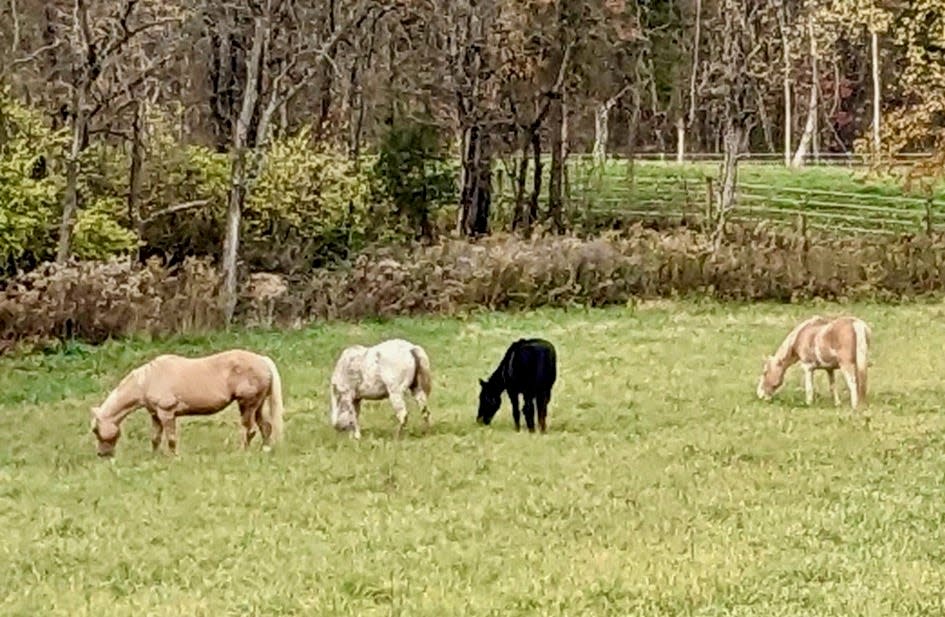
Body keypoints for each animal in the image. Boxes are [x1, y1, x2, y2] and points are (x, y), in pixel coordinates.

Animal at [89, 348, 284, 454]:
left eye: (96, 430)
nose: (102, 454)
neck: (147, 380)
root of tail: (263, 360)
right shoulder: (155, 415)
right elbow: (155, 438)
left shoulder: (167, 413)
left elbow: (171, 439)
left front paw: (174, 458)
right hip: (257, 405)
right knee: (265, 427)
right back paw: (265, 449)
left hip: (247, 405)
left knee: (250, 430)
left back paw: (242, 451)